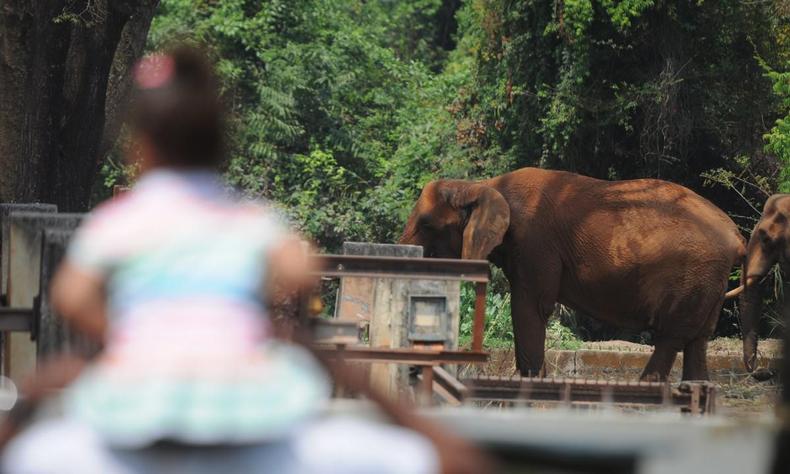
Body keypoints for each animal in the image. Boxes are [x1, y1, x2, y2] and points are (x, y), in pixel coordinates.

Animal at [402, 168, 748, 380]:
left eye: (427, 225)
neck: (482, 186)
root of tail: (737, 237)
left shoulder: (534, 243)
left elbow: (529, 307)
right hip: (708, 281)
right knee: (698, 339)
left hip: (694, 275)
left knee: (672, 336)